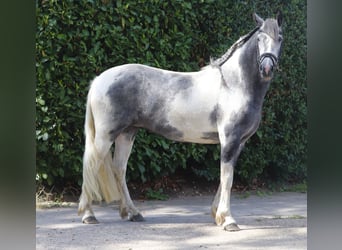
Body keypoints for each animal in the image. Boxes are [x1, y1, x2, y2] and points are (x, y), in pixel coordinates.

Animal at [77, 10, 284, 231]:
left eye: (279, 38)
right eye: (260, 38)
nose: (267, 68)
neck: (232, 85)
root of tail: (99, 80)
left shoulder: (239, 143)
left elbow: (224, 178)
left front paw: (217, 215)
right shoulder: (230, 139)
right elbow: (227, 178)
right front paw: (228, 220)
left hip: (127, 133)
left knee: (119, 169)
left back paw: (133, 213)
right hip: (105, 136)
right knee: (91, 165)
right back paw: (88, 215)